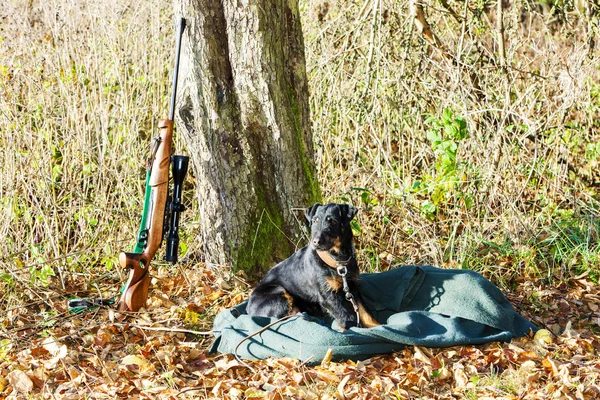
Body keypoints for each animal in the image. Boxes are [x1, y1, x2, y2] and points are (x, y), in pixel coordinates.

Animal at [245, 202, 380, 330]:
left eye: (334, 222)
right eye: (315, 220)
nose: (316, 242)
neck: (337, 261)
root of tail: (248, 309)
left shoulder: (353, 287)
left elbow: (365, 312)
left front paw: (377, 326)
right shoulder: (328, 296)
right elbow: (347, 316)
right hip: (278, 294)